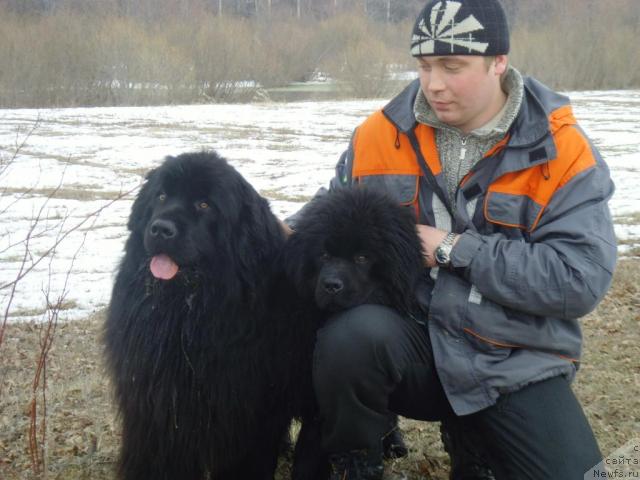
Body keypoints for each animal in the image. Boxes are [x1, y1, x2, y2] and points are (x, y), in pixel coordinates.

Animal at [105, 152, 318, 478]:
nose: (161, 229)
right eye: (161, 196)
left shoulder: (250, 415)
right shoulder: (156, 407)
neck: (186, 313)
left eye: (204, 205)